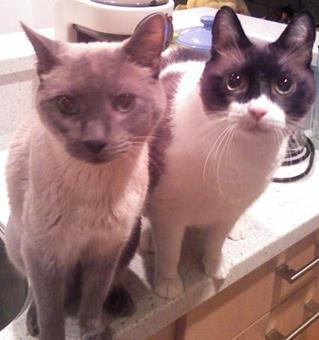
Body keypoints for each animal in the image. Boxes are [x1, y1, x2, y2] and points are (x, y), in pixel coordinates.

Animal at [143, 7, 318, 298]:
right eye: (234, 82)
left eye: (284, 85)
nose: (258, 111)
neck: (238, 153)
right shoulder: (169, 213)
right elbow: (170, 251)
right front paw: (168, 283)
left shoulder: (228, 211)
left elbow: (216, 243)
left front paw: (215, 267)